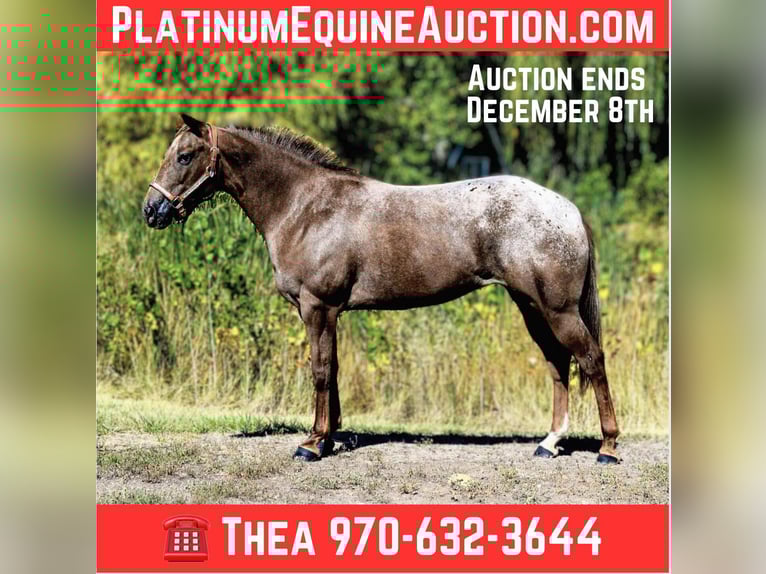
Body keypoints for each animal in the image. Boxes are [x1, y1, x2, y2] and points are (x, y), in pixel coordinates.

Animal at [143, 114, 620, 464]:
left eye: (185, 156)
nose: (152, 210)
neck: (305, 207)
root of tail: (568, 209)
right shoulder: (325, 312)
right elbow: (332, 370)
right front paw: (329, 437)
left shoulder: (318, 307)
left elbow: (320, 370)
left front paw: (311, 444)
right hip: (531, 306)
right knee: (558, 364)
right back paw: (549, 443)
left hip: (557, 309)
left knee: (591, 359)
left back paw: (608, 448)